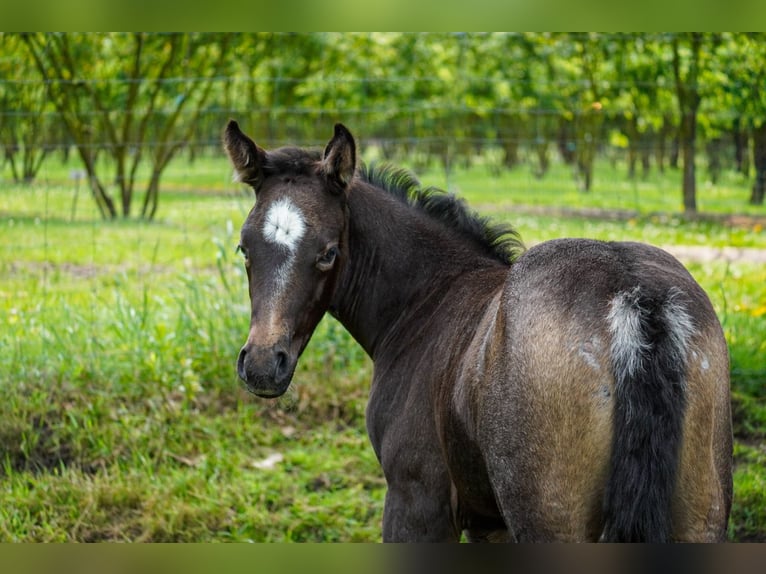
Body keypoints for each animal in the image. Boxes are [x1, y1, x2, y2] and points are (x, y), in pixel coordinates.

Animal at [223, 120, 732, 542]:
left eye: (328, 252)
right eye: (244, 247)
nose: (264, 366)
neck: (427, 300)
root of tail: (632, 298)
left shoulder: (416, 503)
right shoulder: (490, 525)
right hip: (700, 515)